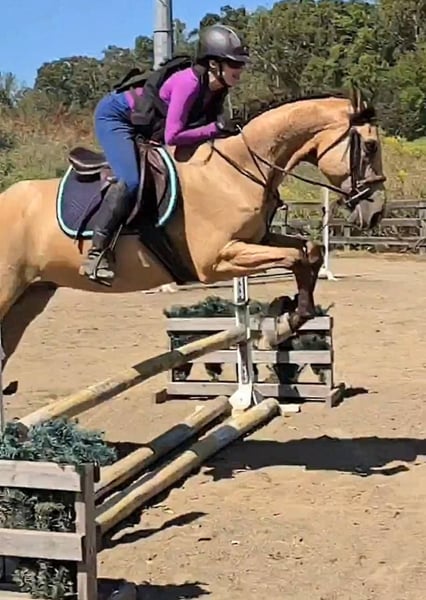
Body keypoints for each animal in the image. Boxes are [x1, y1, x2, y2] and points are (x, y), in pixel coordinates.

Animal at [0, 90, 386, 378]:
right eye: (370, 147)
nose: (377, 210)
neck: (237, 169)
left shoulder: (256, 240)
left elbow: (309, 251)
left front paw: (286, 318)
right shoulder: (215, 261)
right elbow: (295, 257)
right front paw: (277, 321)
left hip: (31, 296)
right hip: (9, 291)